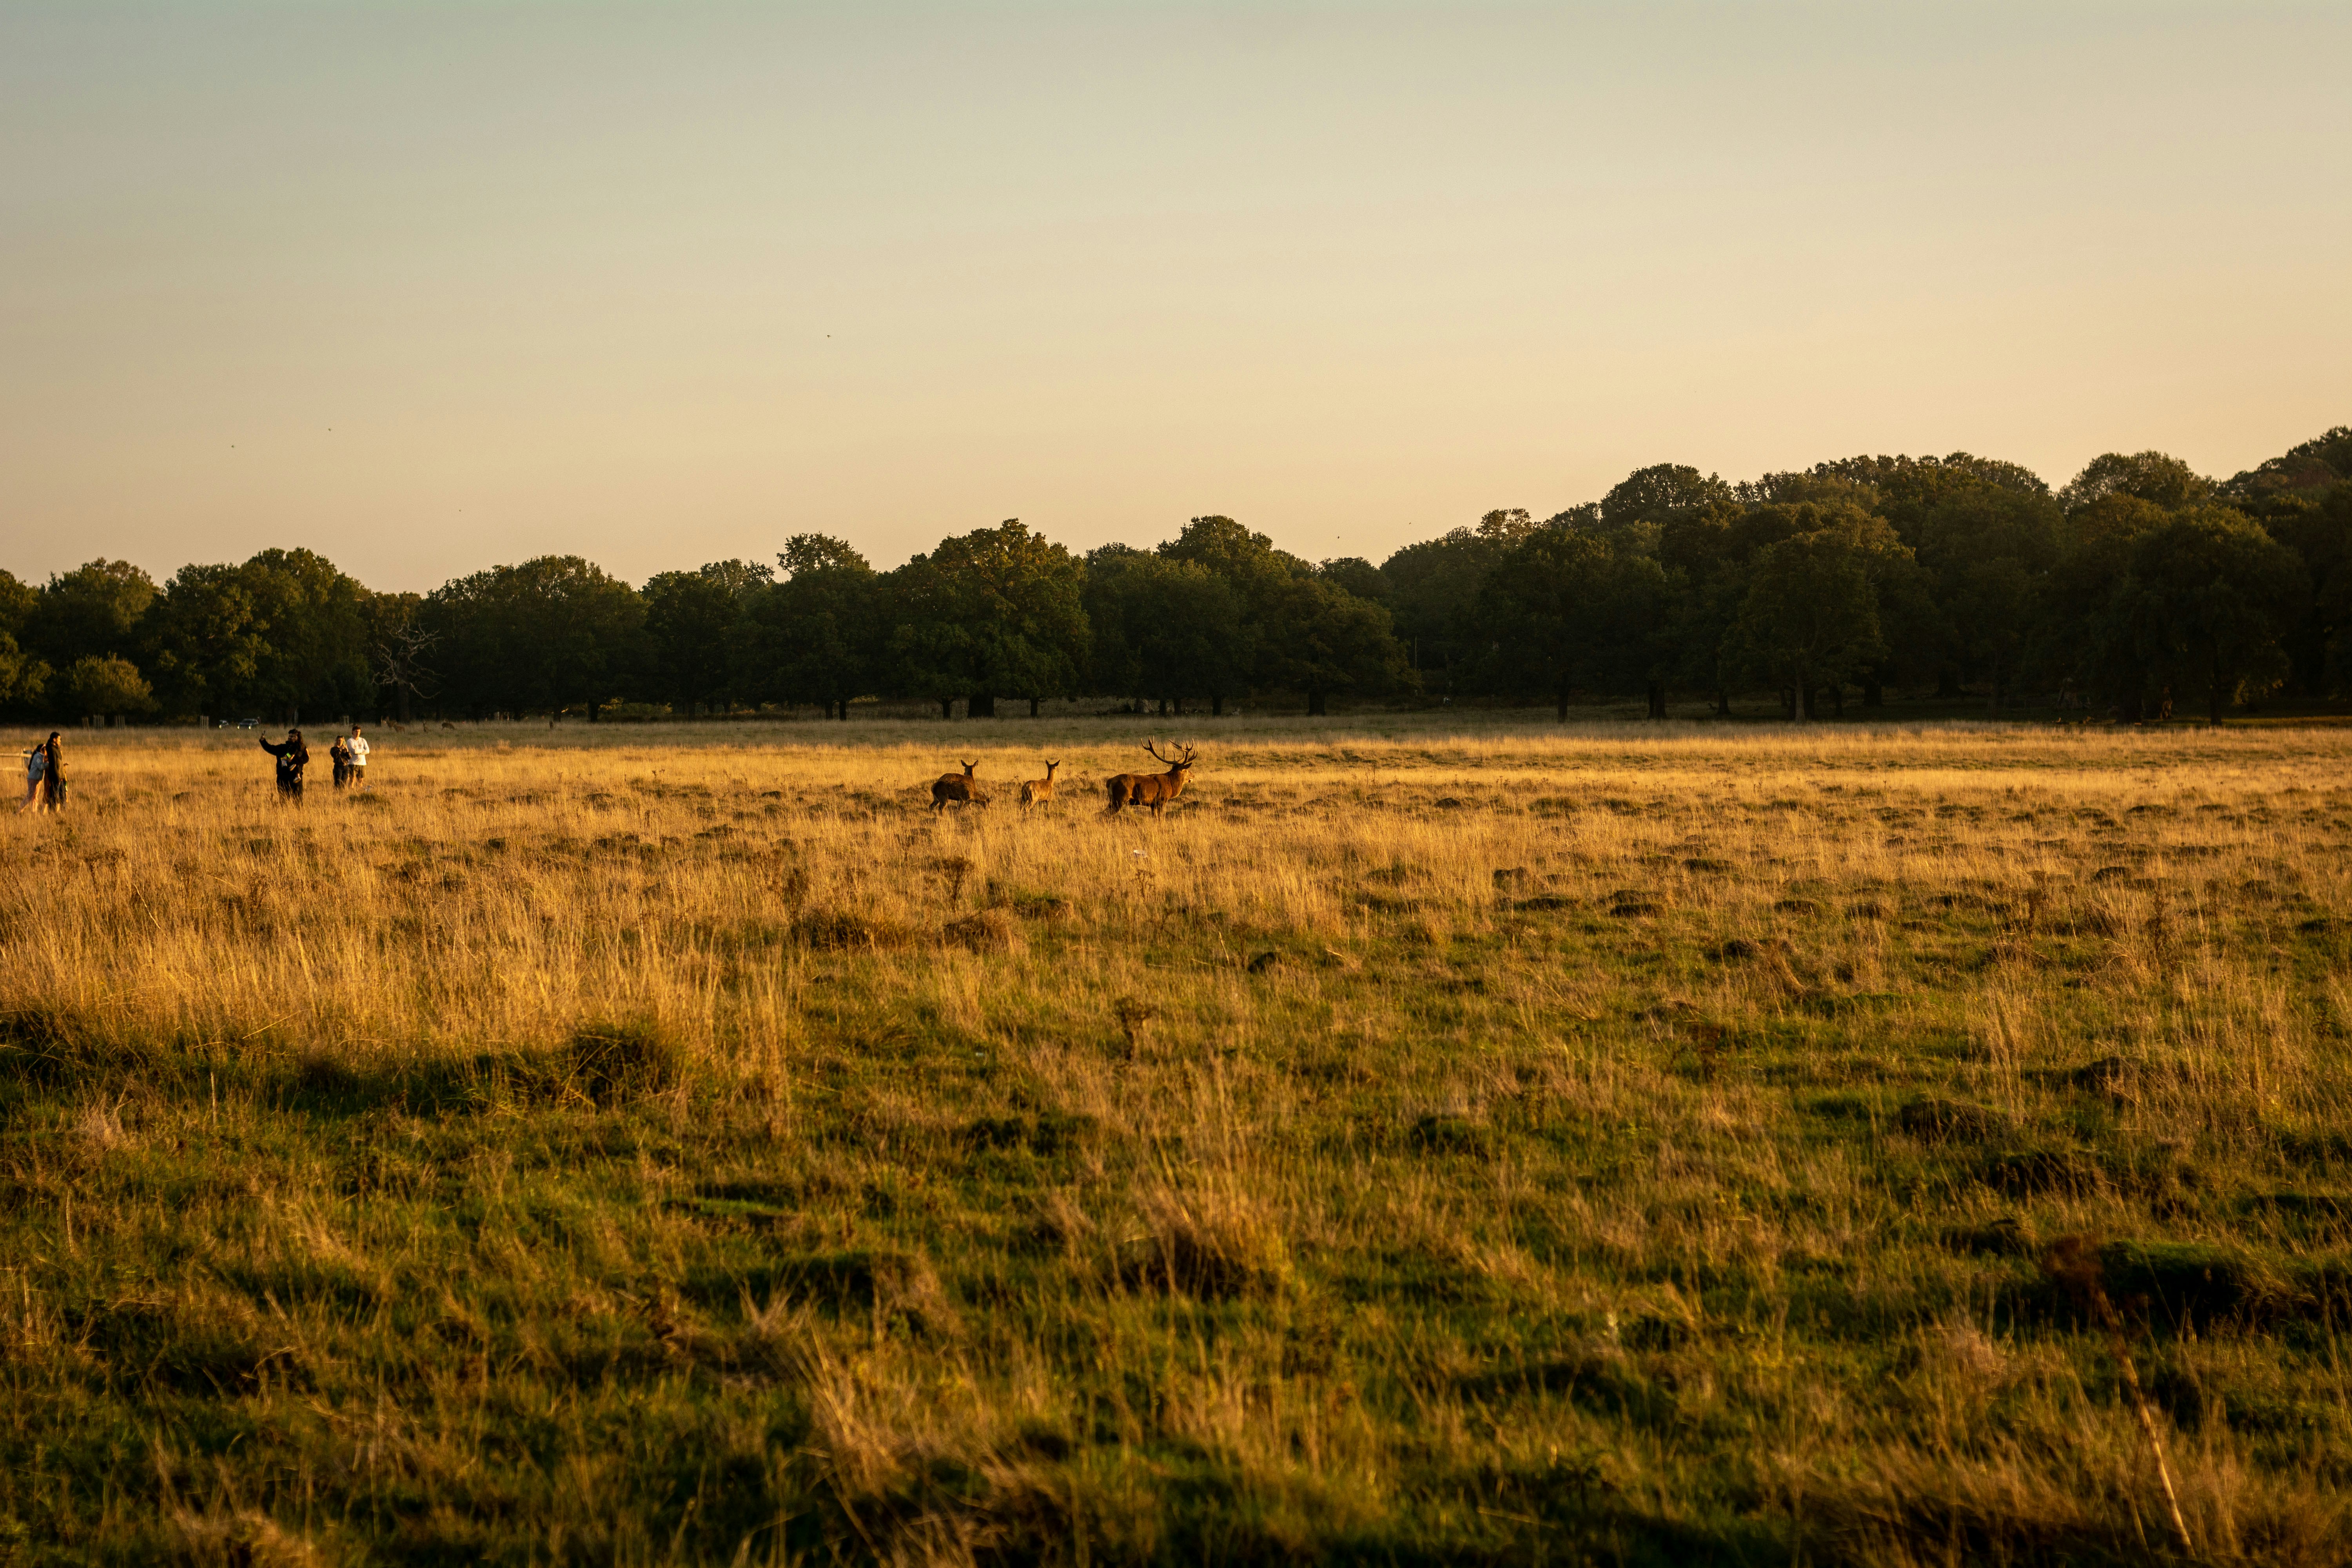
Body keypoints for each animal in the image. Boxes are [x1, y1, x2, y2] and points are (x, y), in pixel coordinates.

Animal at [1019, 759, 1061, 811]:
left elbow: (1041, 809)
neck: (1050, 782)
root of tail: (1025, 787)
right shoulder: (1049, 799)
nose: (1058, 771)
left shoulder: (1041, 800)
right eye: (1056, 768)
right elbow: (1047, 809)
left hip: (1024, 798)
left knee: (1021, 807)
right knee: (1027, 808)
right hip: (1034, 798)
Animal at [1105, 741, 1195, 818]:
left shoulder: (1153, 804)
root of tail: (1109, 782)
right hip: (1120, 798)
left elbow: (1155, 817)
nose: (1194, 776)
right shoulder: (1162, 800)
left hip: (1112, 800)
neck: (1171, 785)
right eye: (1187, 770)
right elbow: (1161, 818)